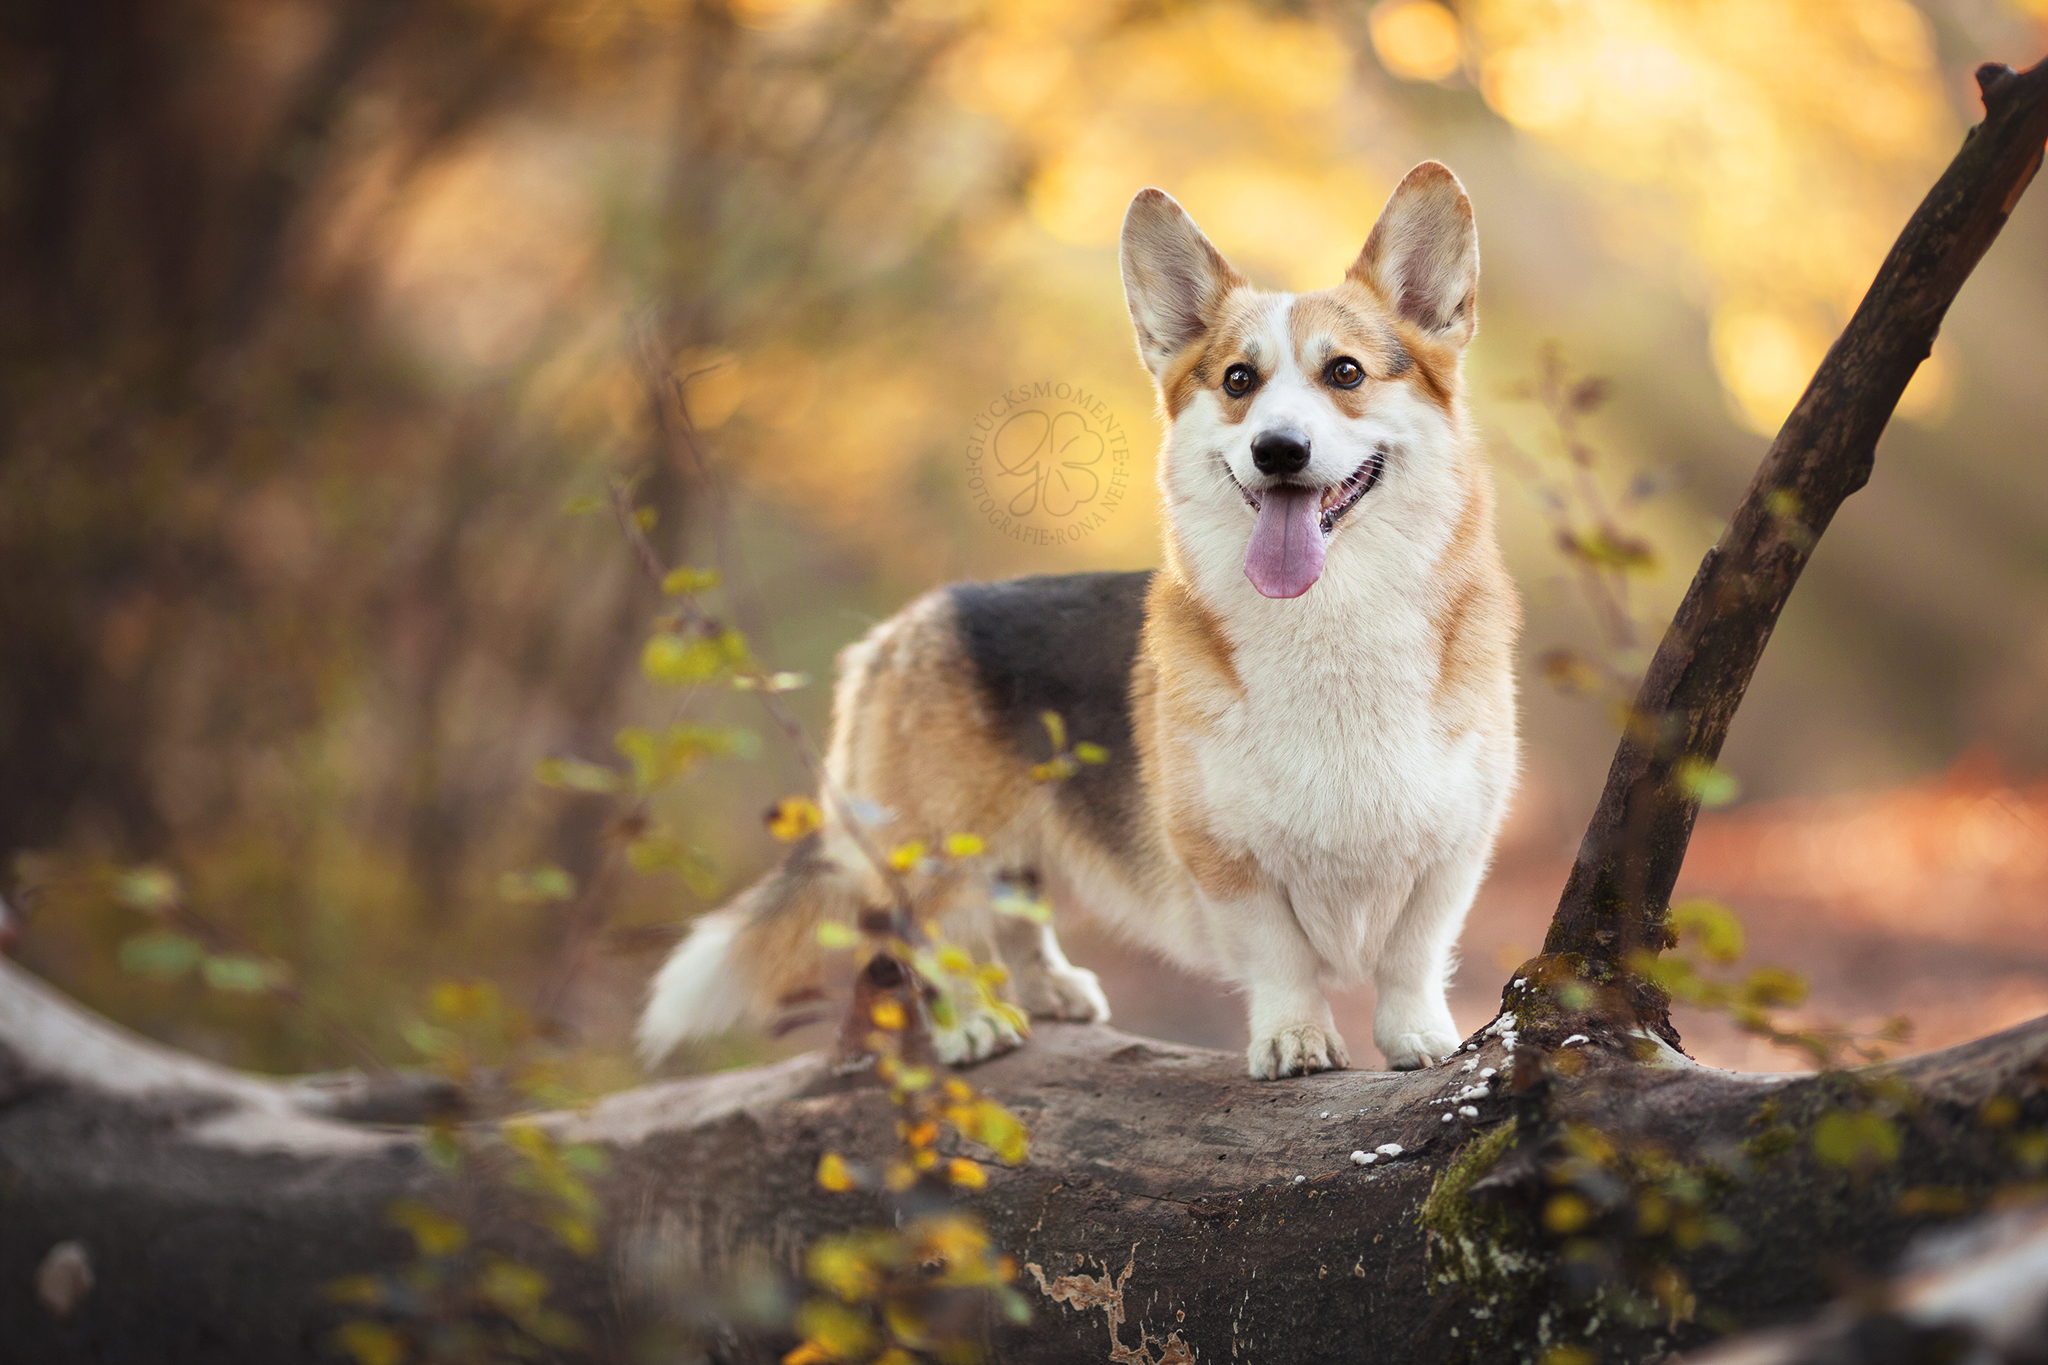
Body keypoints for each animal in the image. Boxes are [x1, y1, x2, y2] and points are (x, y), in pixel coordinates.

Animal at [638, 162, 1523, 1080]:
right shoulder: (1226, 857)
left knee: (1015, 909)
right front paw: (1294, 1039)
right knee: (936, 928)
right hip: (944, 842)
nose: (1277, 450)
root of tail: (896, 630)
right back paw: (973, 1022)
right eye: (1238, 381)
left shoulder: (1453, 849)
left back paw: (1049, 990)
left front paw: (1420, 1038)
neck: (1332, 622)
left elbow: (1412, 953)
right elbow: (1280, 957)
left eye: (1345, 373)